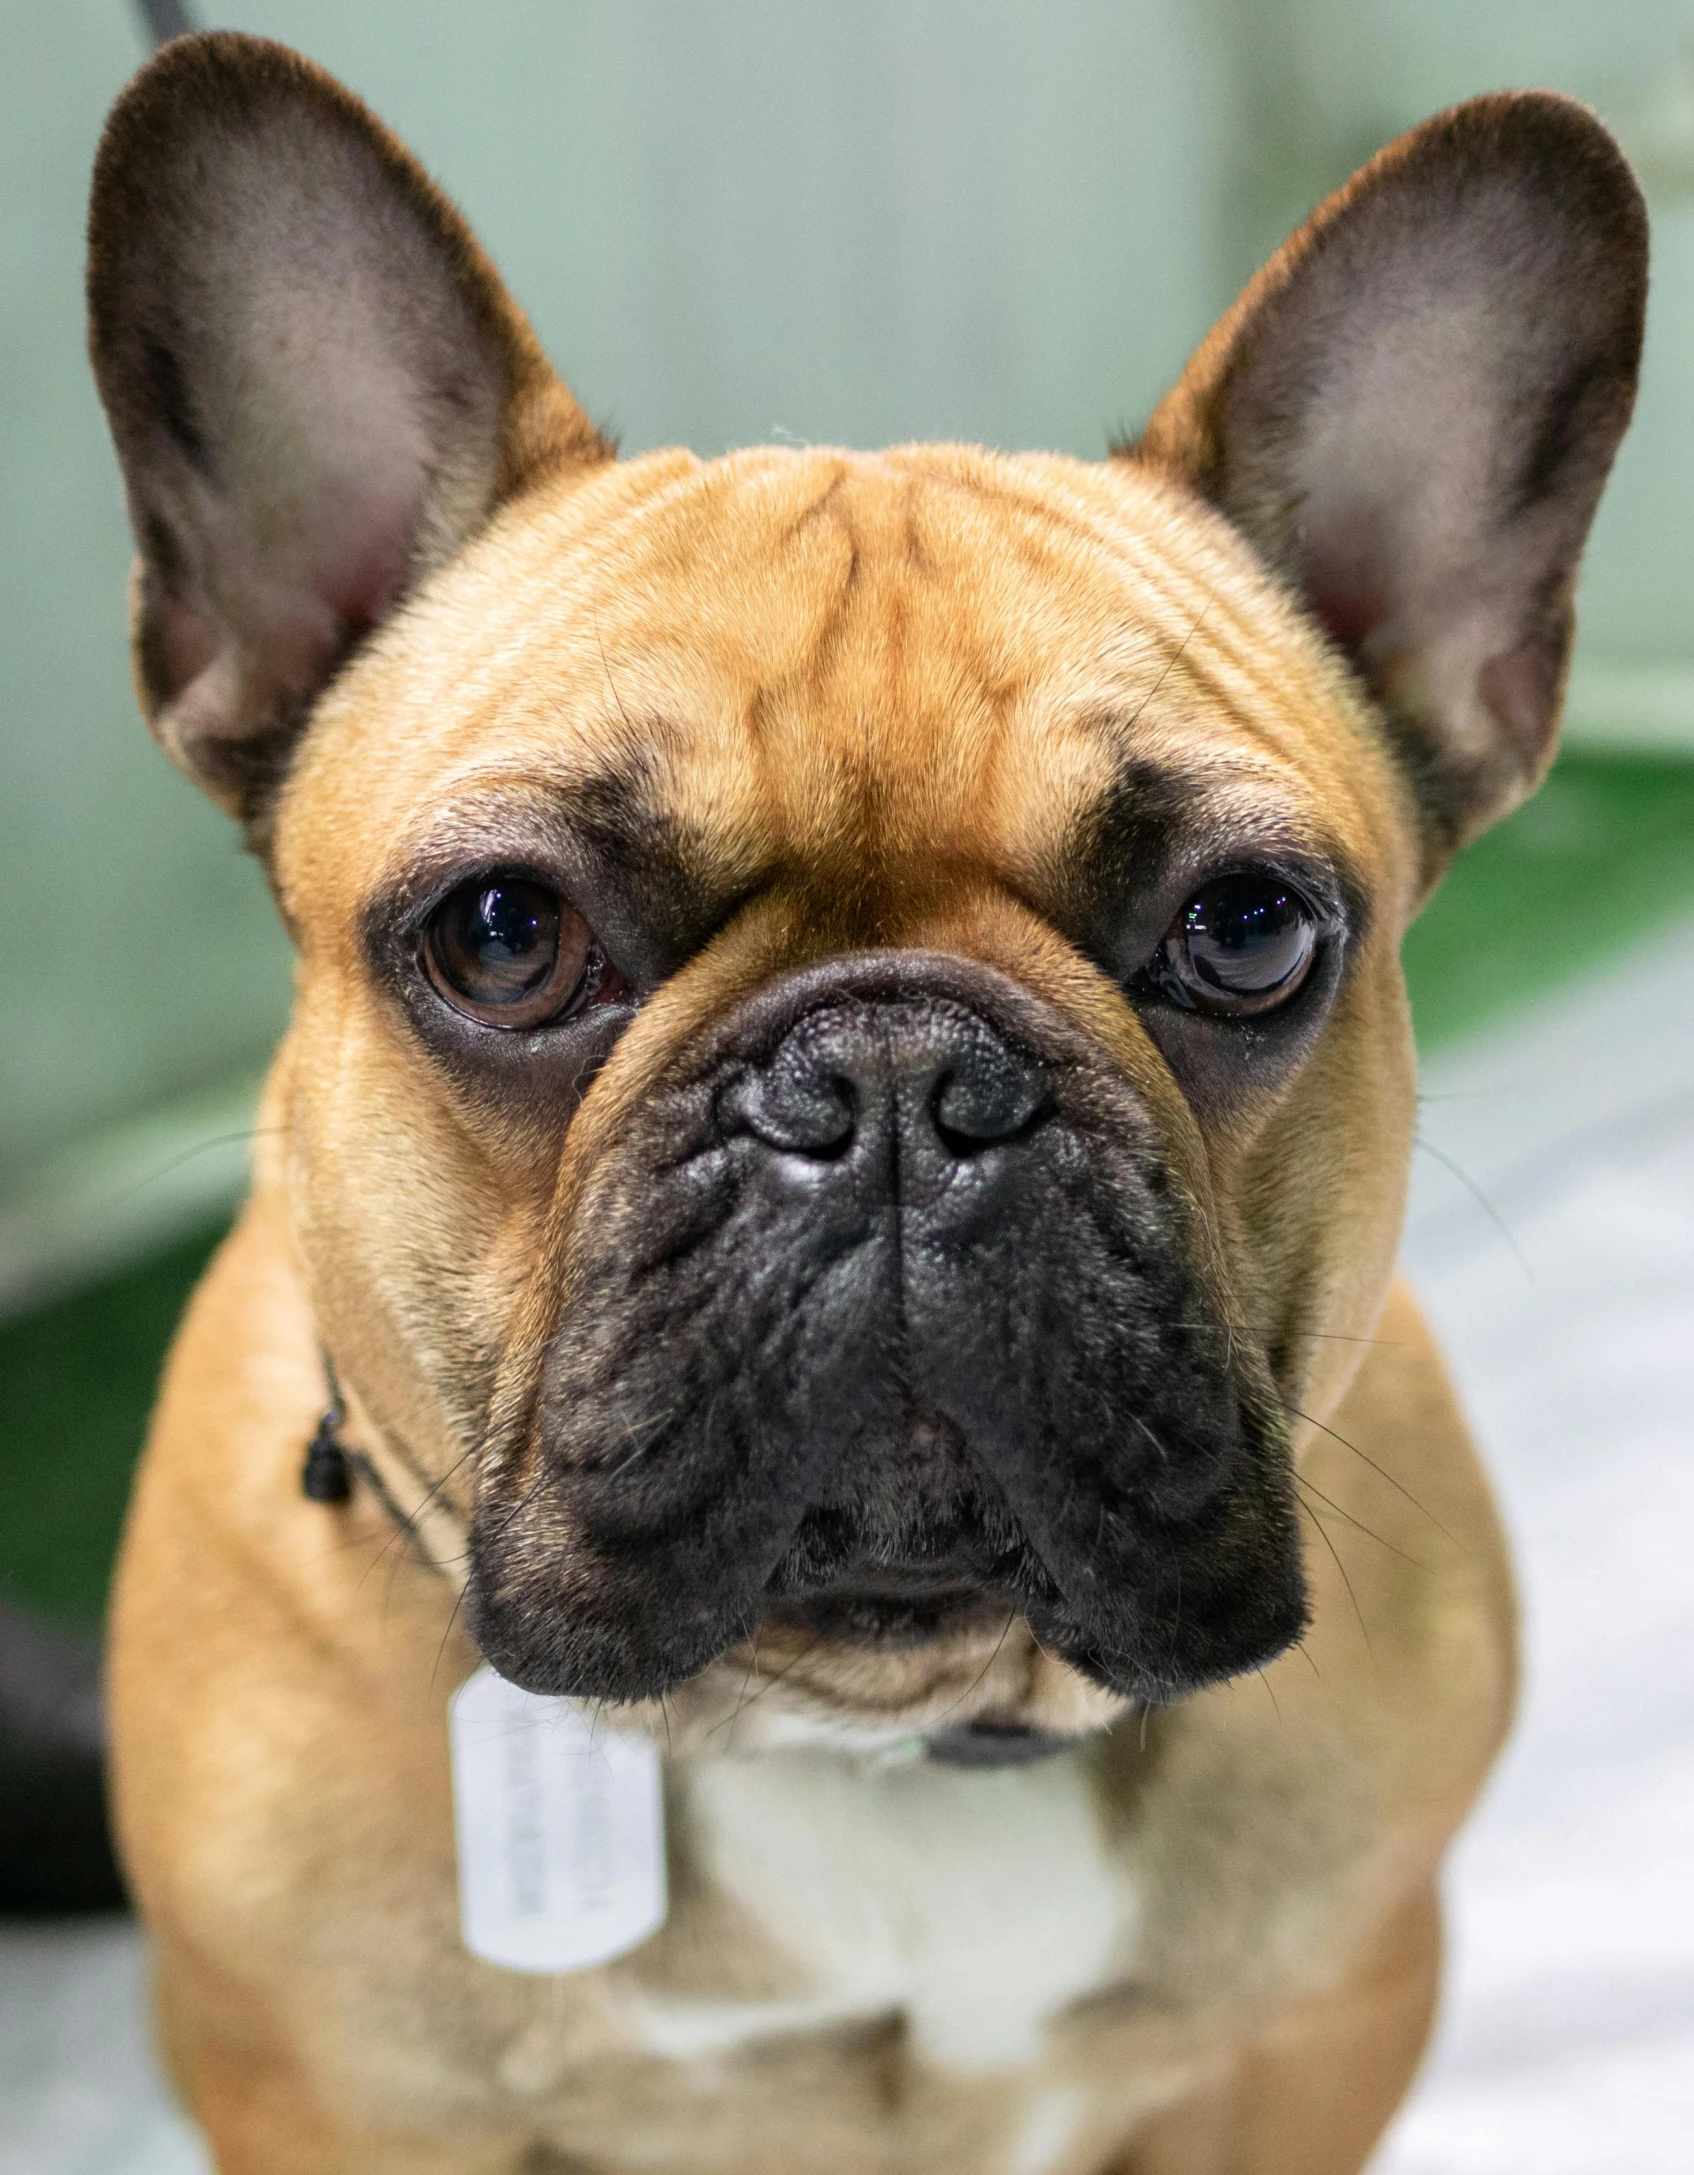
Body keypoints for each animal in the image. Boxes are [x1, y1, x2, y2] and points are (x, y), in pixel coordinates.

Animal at [89, 38, 1643, 2175]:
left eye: (1246, 928)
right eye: (502, 936)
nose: (895, 1082)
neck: (869, 1727)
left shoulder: (1320, 2023)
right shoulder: (329, 2096)